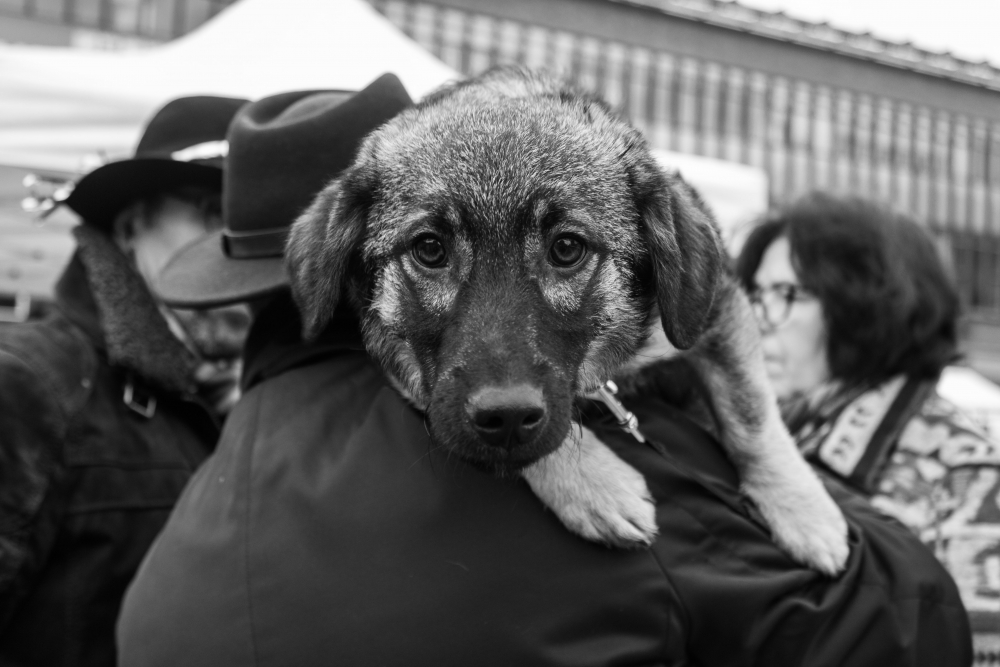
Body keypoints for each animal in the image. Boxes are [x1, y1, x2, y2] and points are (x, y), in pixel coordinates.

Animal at [286, 69, 848, 580]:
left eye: (567, 248)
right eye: (429, 249)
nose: (506, 413)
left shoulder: (715, 309)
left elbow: (752, 415)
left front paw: (804, 510)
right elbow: (516, 436)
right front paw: (592, 484)